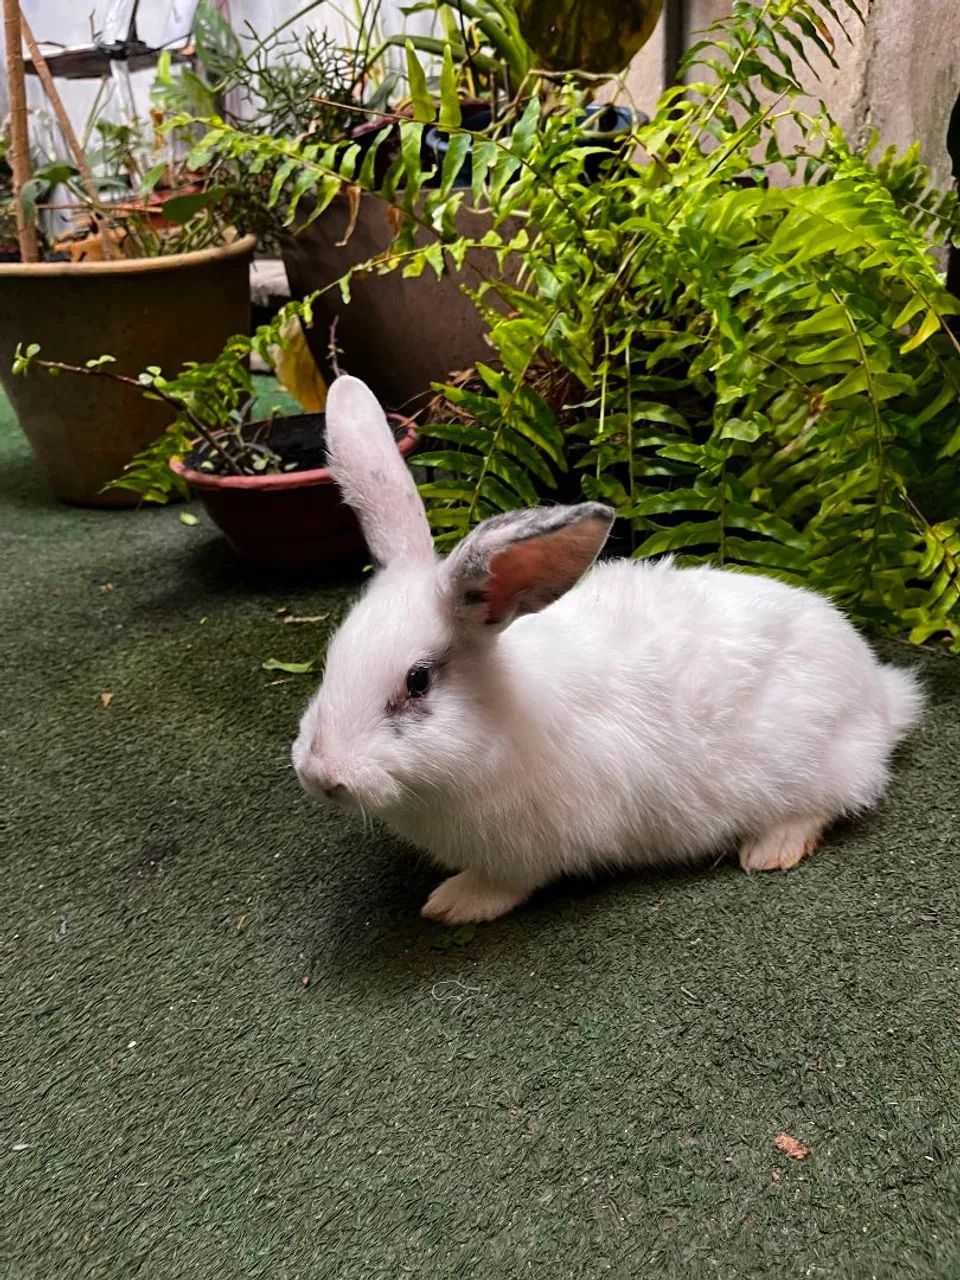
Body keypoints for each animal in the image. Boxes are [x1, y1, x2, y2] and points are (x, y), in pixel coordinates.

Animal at [292, 375, 924, 925]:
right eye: (333, 658)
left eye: (417, 680)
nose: (322, 775)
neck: (498, 720)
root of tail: (879, 694)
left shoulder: (531, 847)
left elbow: (505, 884)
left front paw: (452, 904)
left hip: (814, 766)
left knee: (832, 801)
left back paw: (770, 848)